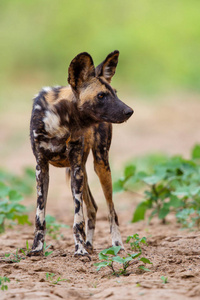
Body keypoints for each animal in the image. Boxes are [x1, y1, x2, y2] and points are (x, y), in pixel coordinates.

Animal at [29, 50, 133, 256]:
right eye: (101, 95)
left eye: (115, 93)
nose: (129, 111)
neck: (61, 121)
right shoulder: (42, 168)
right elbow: (40, 216)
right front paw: (37, 249)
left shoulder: (76, 167)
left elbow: (78, 219)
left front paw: (80, 250)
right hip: (81, 171)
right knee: (93, 207)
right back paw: (90, 244)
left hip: (99, 165)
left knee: (111, 209)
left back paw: (116, 244)